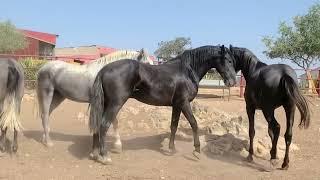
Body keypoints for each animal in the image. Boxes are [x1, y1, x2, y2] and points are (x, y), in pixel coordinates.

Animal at [89, 45, 236, 165]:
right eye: (228, 60)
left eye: (233, 60)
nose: (232, 81)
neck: (186, 71)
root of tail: (104, 70)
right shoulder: (184, 103)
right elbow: (194, 123)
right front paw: (197, 150)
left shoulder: (176, 105)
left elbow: (174, 126)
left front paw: (172, 149)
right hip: (115, 104)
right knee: (103, 125)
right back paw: (105, 156)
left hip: (106, 103)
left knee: (98, 124)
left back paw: (95, 154)